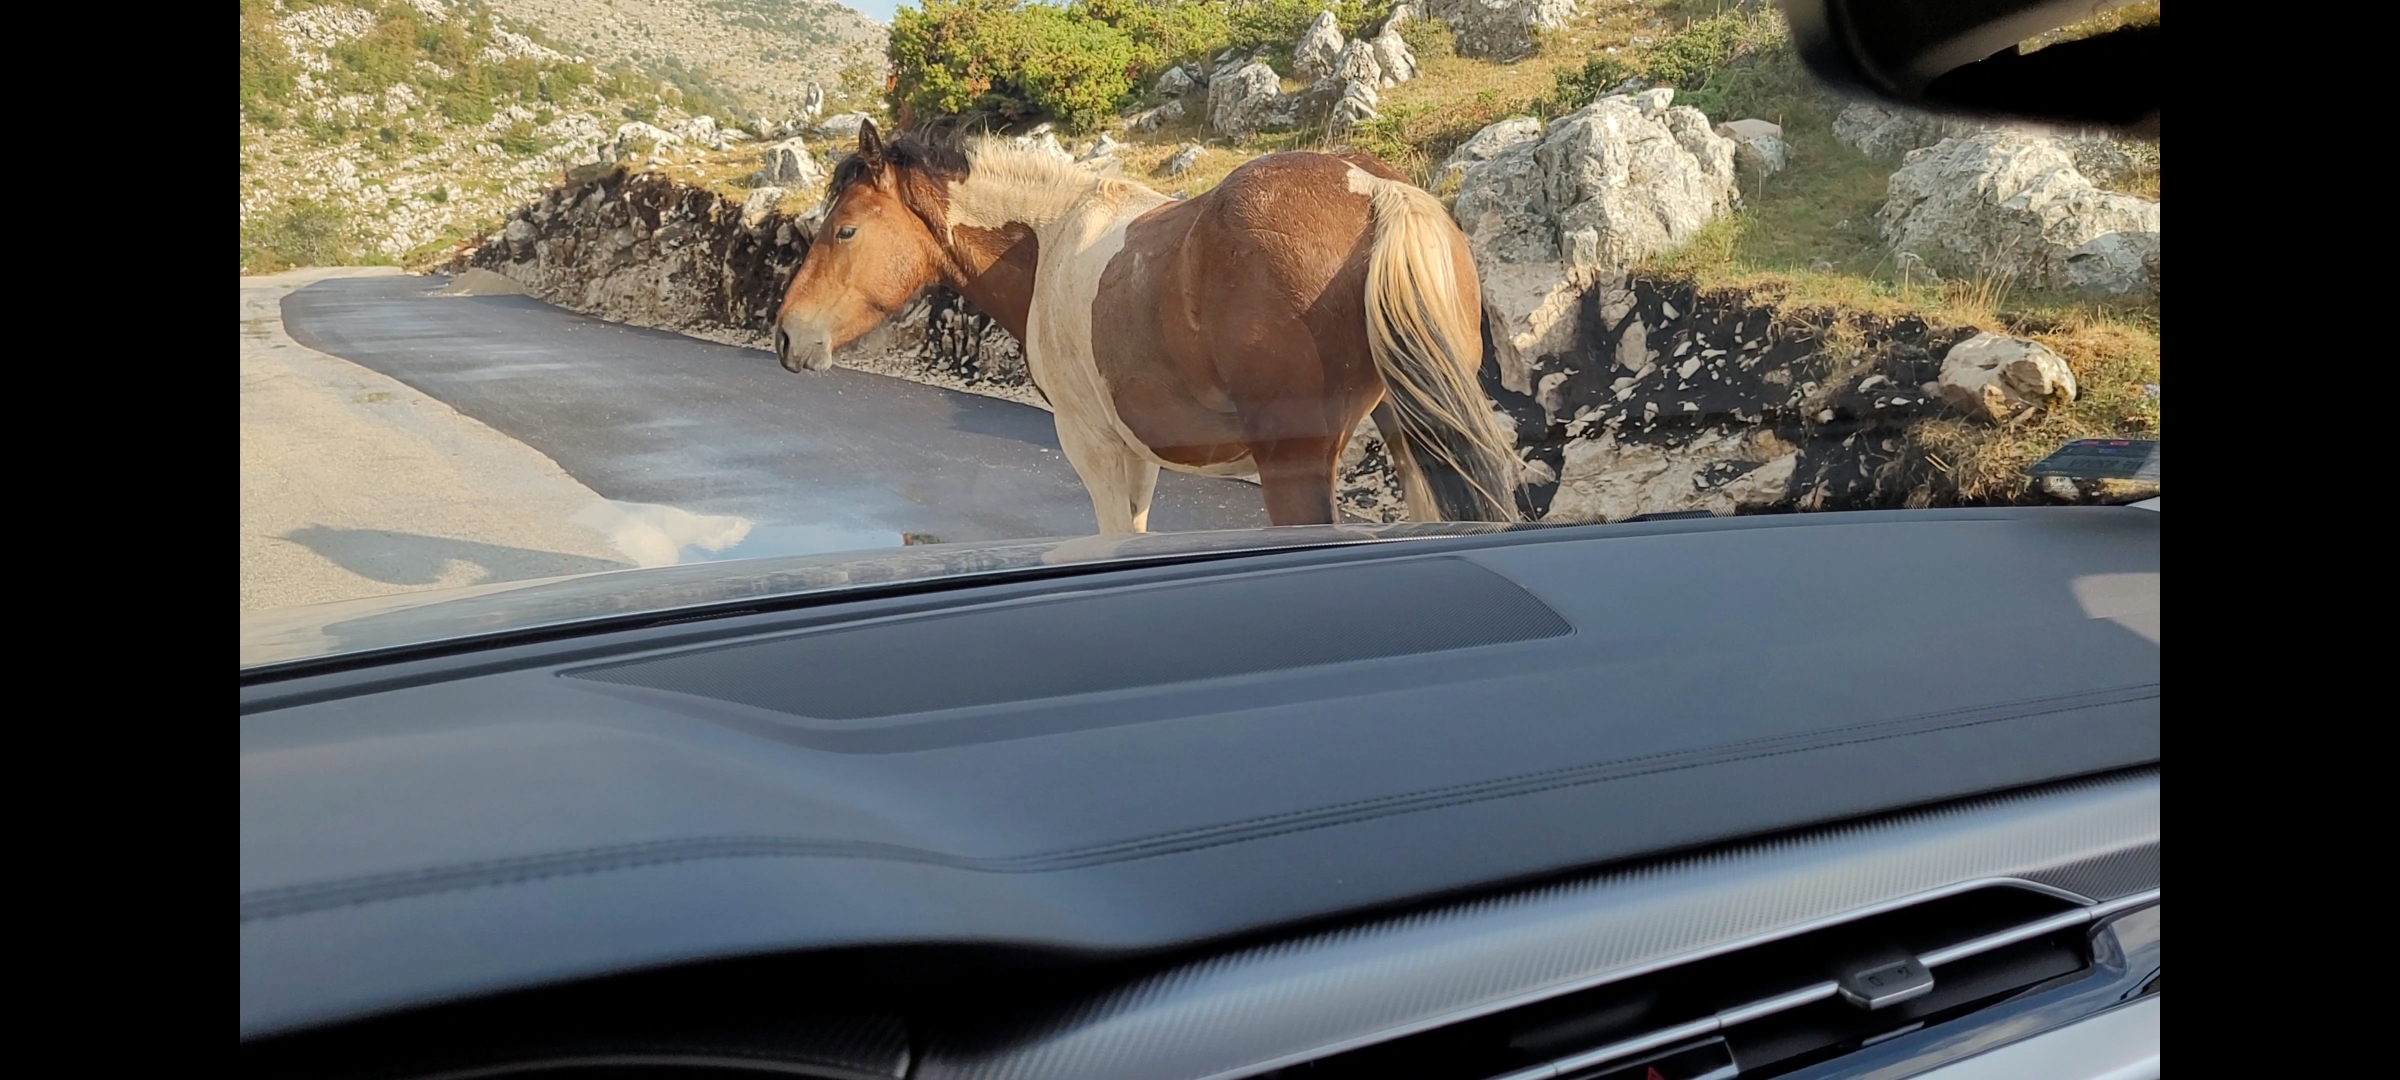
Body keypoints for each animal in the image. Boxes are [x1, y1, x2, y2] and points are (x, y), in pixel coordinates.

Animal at [772, 120, 1521, 533]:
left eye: (845, 228)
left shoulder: (1095, 449)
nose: (785, 335)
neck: (1051, 238)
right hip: (1414, 442)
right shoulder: (1139, 459)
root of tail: (1376, 190)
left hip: (1297, 464)